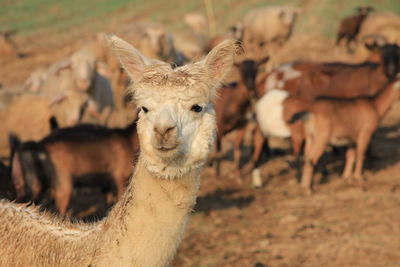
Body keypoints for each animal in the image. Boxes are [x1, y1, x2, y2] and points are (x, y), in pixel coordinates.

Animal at [9, 120, 139, 216]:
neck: (129, 140)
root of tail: (41, 144)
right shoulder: (121, 179)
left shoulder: (106, 186)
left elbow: (107, 207)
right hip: (61, 187)